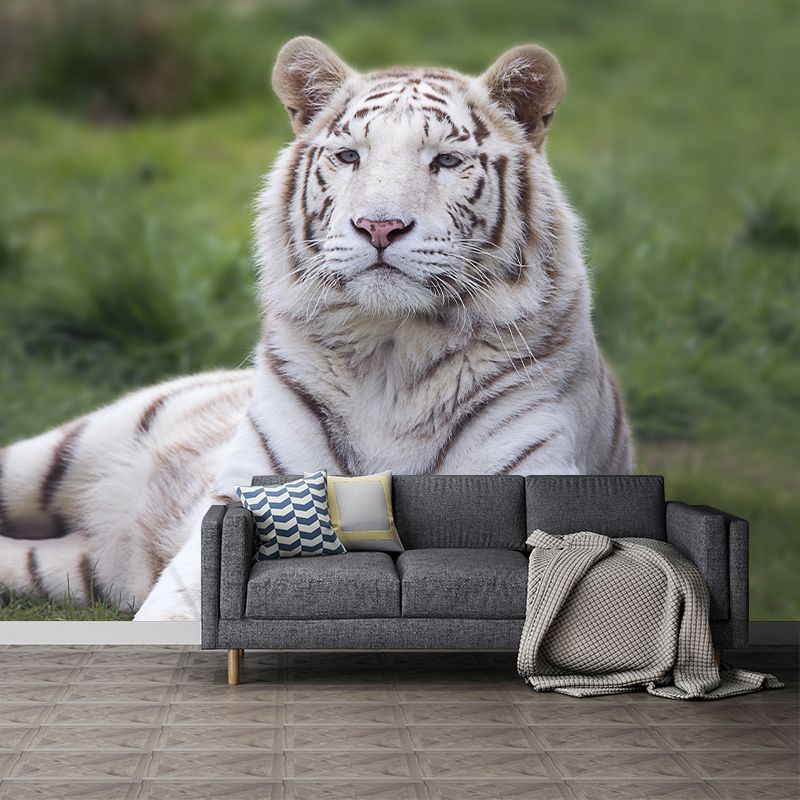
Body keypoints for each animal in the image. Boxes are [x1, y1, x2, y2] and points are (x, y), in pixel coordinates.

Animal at [0, 37, 633, 621]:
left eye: (447, 162)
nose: (379, 226)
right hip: (64, 450)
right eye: (350, 156)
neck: (392, 354)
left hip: (72, 566)